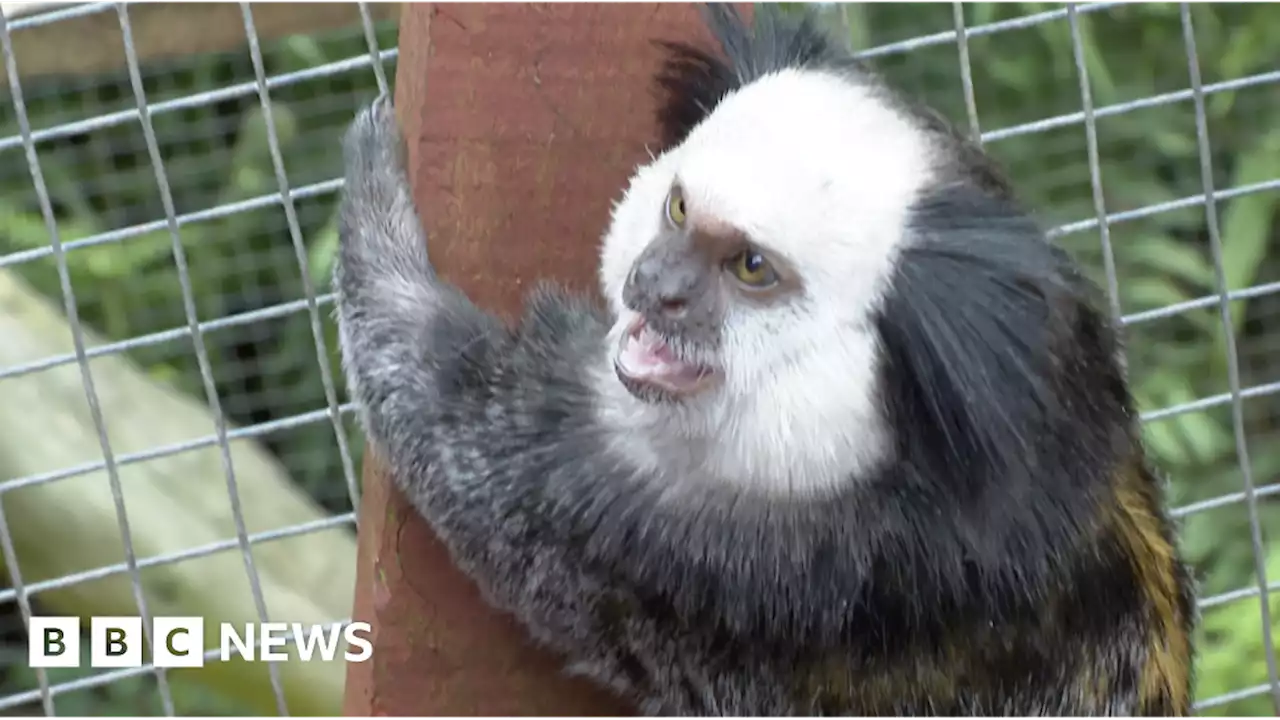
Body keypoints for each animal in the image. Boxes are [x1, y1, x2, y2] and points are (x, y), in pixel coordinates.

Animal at [335, 2, 1192, 712]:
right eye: (677, 208)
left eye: (751, 268)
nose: (655, 285)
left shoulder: (726, 550)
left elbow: (456, 440)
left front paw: (375, 215)